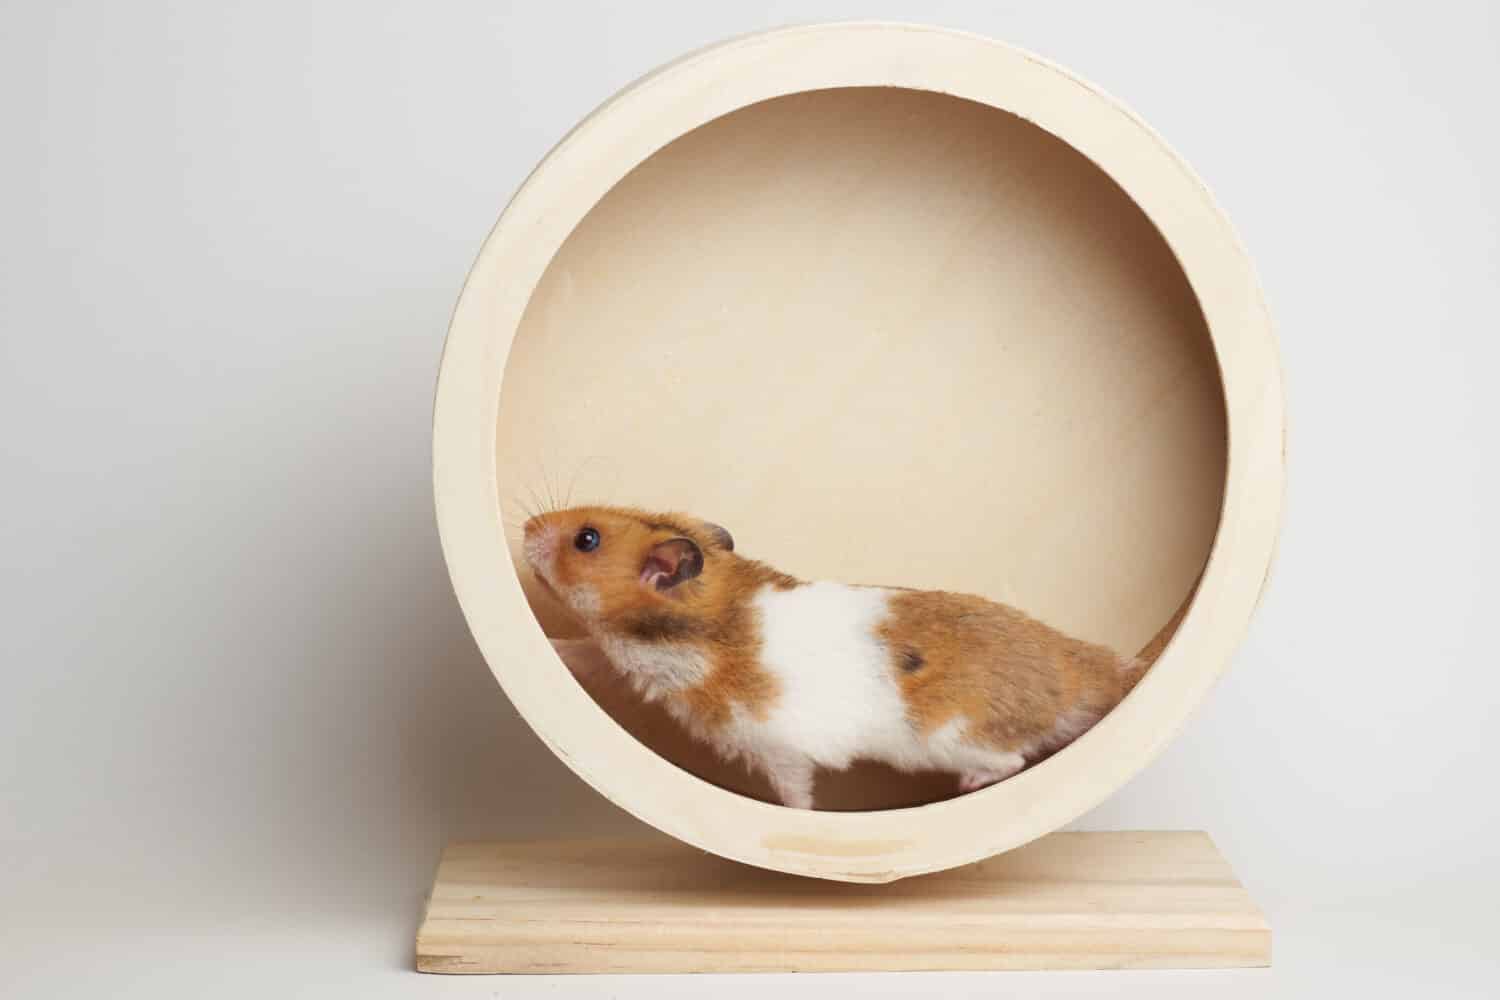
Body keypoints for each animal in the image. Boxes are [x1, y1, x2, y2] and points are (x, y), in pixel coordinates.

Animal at [522, 503, 1188, 809]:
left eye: (587, 539)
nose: (525, 527)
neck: (704, 624)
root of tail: (1103, 670)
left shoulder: (777, 748)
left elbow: (796, 793)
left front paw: (801, 821)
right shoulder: (617, 657)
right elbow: (582, 650)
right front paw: (544, 645)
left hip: (953, 738)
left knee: (1012, 761)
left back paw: (969, 785)